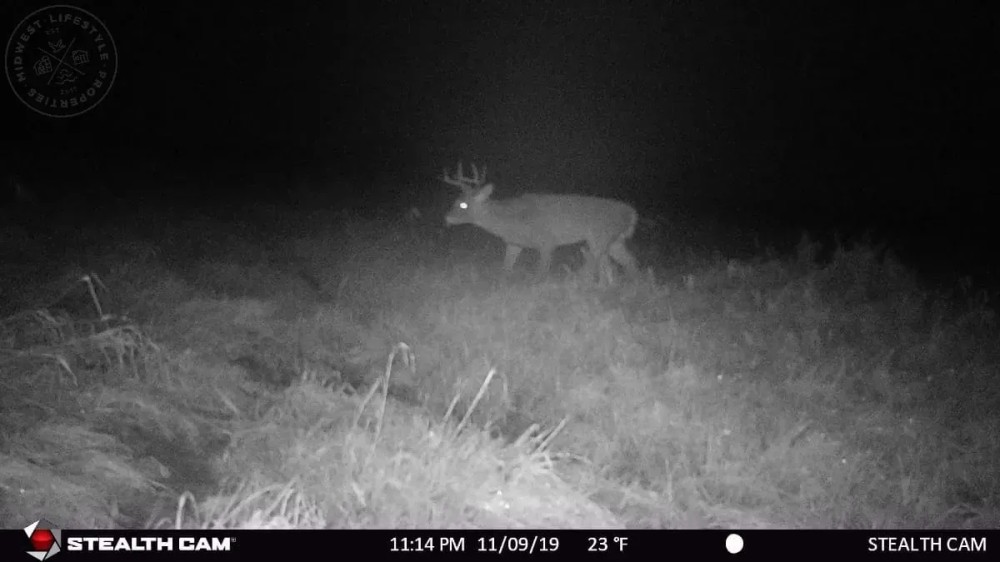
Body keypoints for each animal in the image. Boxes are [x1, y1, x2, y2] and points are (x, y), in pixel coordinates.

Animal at [442, 162, 640, 284]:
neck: (509, 220)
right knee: (630, 262)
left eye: (463, 204)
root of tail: (631, 213)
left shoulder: (547, 241)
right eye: (455, 200)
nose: (447, 218)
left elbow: (541, 273)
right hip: (614, 241)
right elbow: (505, 269)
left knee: (594, 264)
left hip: (599, 236)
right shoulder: (514, 243)